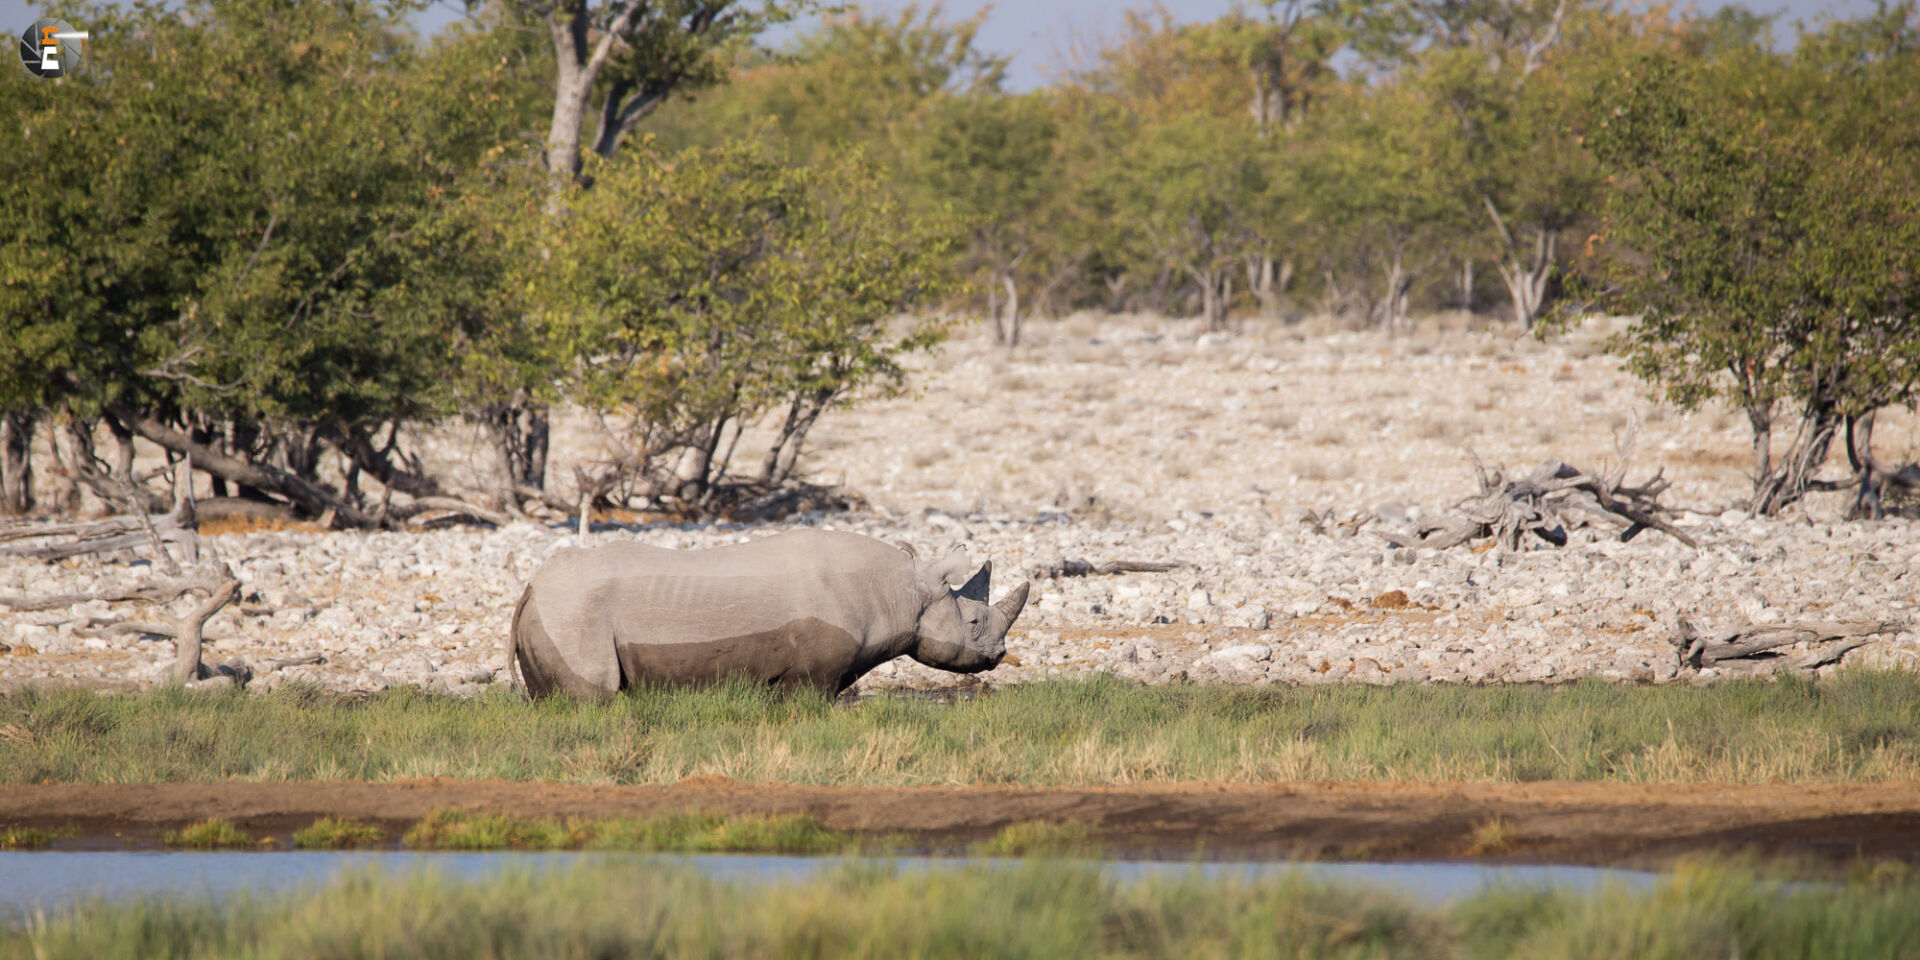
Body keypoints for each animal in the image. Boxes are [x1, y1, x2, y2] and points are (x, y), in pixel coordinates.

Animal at [507, 529, 1030, 697]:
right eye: (974, 624)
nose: (998, 656)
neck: (901, 590)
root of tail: (530, 587)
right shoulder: (815, 672)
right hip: (574, 613)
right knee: (593, 698)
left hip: (556, 610)